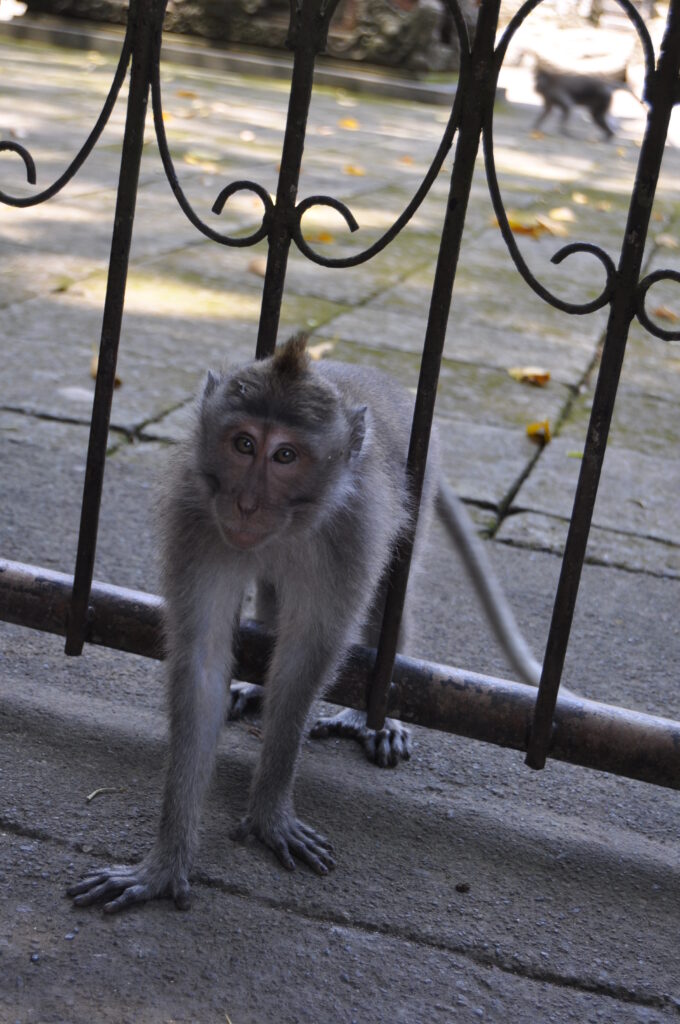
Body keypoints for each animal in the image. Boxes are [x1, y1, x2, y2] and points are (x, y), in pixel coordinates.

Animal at [69, 333, 544, 913]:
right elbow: (201, 661)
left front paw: (269, 813)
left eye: (286, 455)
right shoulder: (196, 518)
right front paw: (165, 862)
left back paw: (373, 719)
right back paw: (258, 683)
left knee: (391, 591)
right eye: (243, 444)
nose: (247, 504)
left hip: (418, 485)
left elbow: (305, 662)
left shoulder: (351, 534)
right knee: (274, 590)